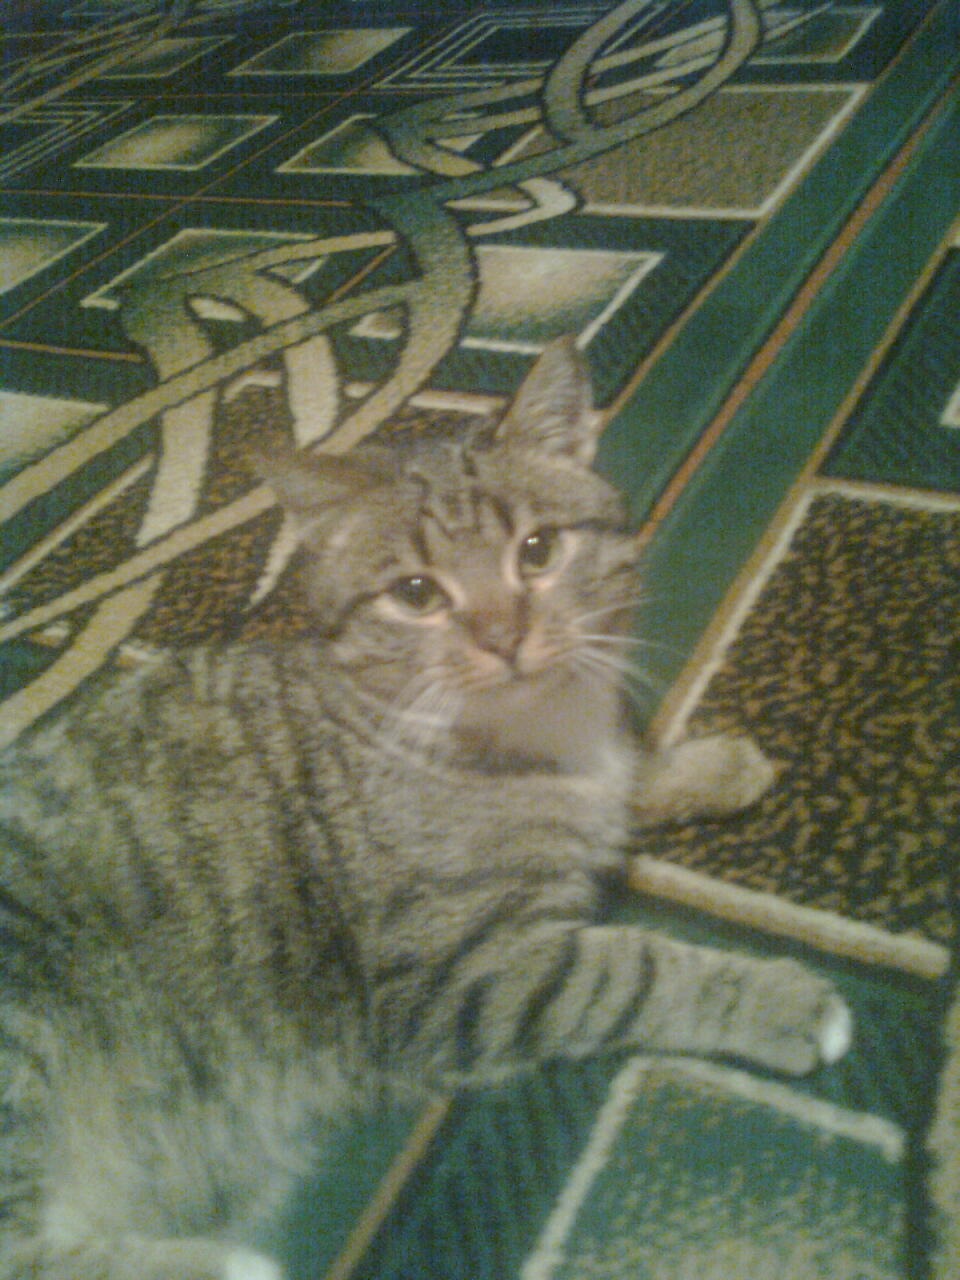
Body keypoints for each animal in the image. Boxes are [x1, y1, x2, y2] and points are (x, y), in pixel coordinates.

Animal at [0, 337, 851, 1280]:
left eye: (538, 550)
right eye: (417, 593)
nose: (503, 637)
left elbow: (634, 775)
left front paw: (710, 763)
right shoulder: (468, 975)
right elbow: (635, 969)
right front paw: (779, 1000)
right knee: (29, 1249)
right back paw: (225, 1264)